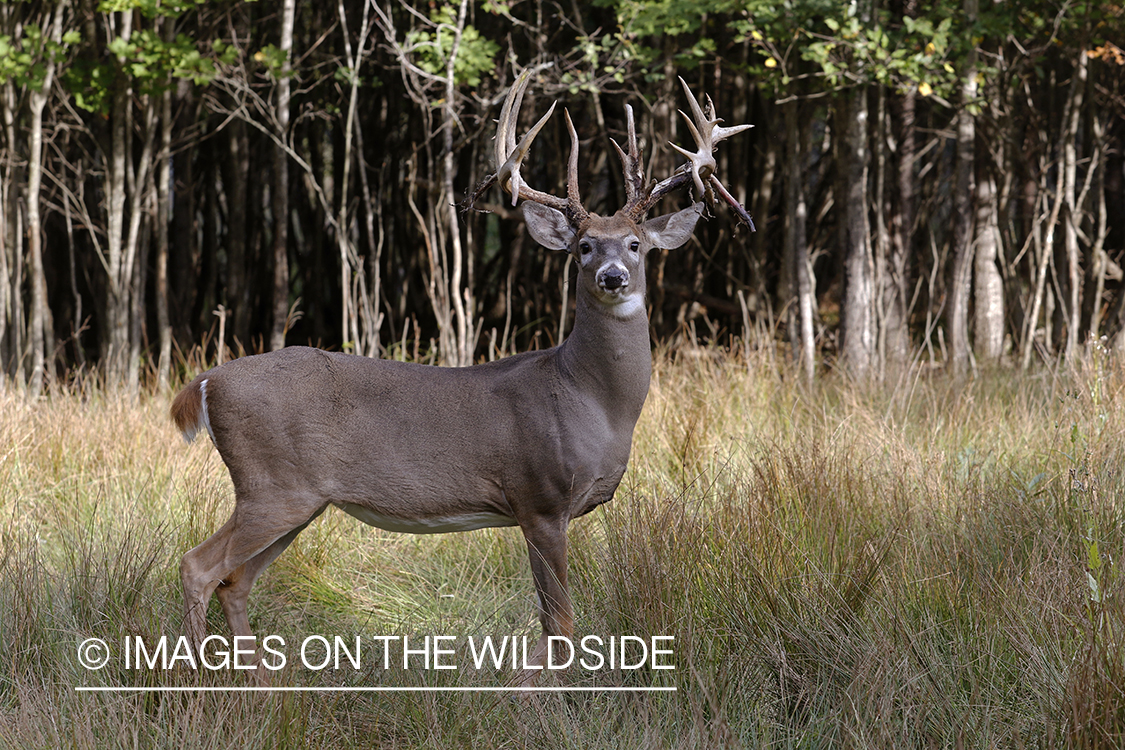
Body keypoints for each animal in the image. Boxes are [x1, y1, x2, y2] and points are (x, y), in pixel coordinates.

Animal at [171, 71, 751, 688]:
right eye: (583, 247)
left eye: (636, 244)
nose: (613, 276)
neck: (589, 399)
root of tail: (206, 382)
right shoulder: (539, 497)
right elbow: (560, 621)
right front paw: (532, 696)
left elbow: (557, 620)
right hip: (271, 483)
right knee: (198, 566)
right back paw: (196, 681)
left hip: (297, 500)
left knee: (235, 580)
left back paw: (262, 684)